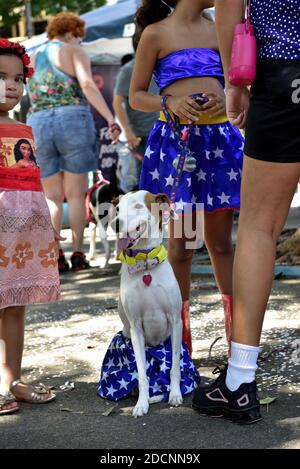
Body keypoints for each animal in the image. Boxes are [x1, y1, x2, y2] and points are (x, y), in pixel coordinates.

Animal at [112, 190, 183, 416]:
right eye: (118, 208)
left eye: (138, 206)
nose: (116, 223)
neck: (145, 265)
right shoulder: (136, 329)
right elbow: (143, 374)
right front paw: (142, 404)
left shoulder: (176, 321)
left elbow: (175, 366)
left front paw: (175, 394)